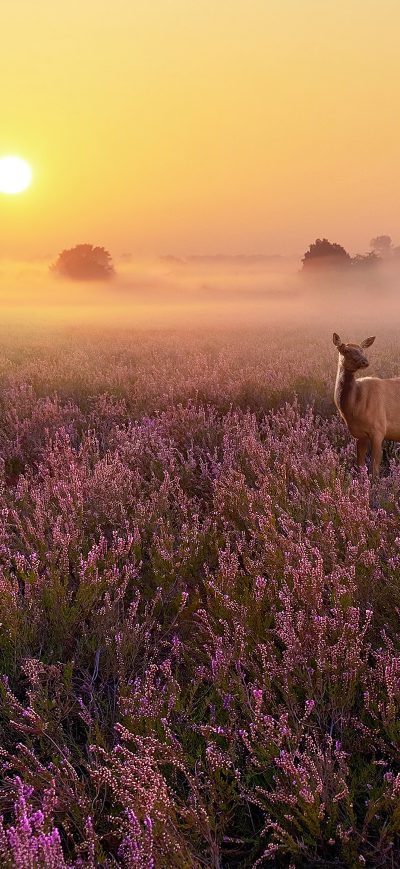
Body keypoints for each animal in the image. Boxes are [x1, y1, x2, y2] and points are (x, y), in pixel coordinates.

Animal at [333, 332, 400, 477]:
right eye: (346, 350)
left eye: (362, 349)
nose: (365, 361)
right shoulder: (359, 434)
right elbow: (360, 465)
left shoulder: (379, 429)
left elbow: (374, 468)